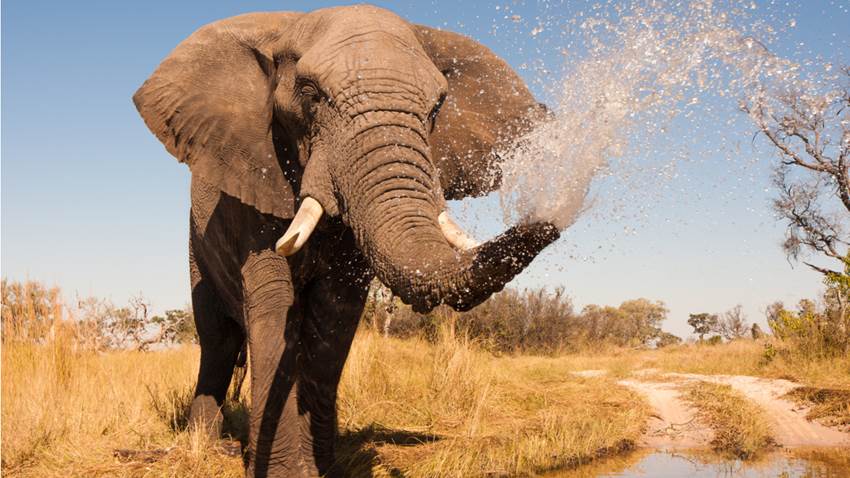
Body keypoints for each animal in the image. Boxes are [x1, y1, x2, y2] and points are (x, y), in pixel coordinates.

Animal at [133, 5, 559, 476]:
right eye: (309, 93)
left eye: (437, 107)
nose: (552, 219)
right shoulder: (255, 182)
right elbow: (273, 305)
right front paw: (285, 473)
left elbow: (334, 316)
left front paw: (321, 468)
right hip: (196, 246)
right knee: (217, 339)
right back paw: (204, 445)